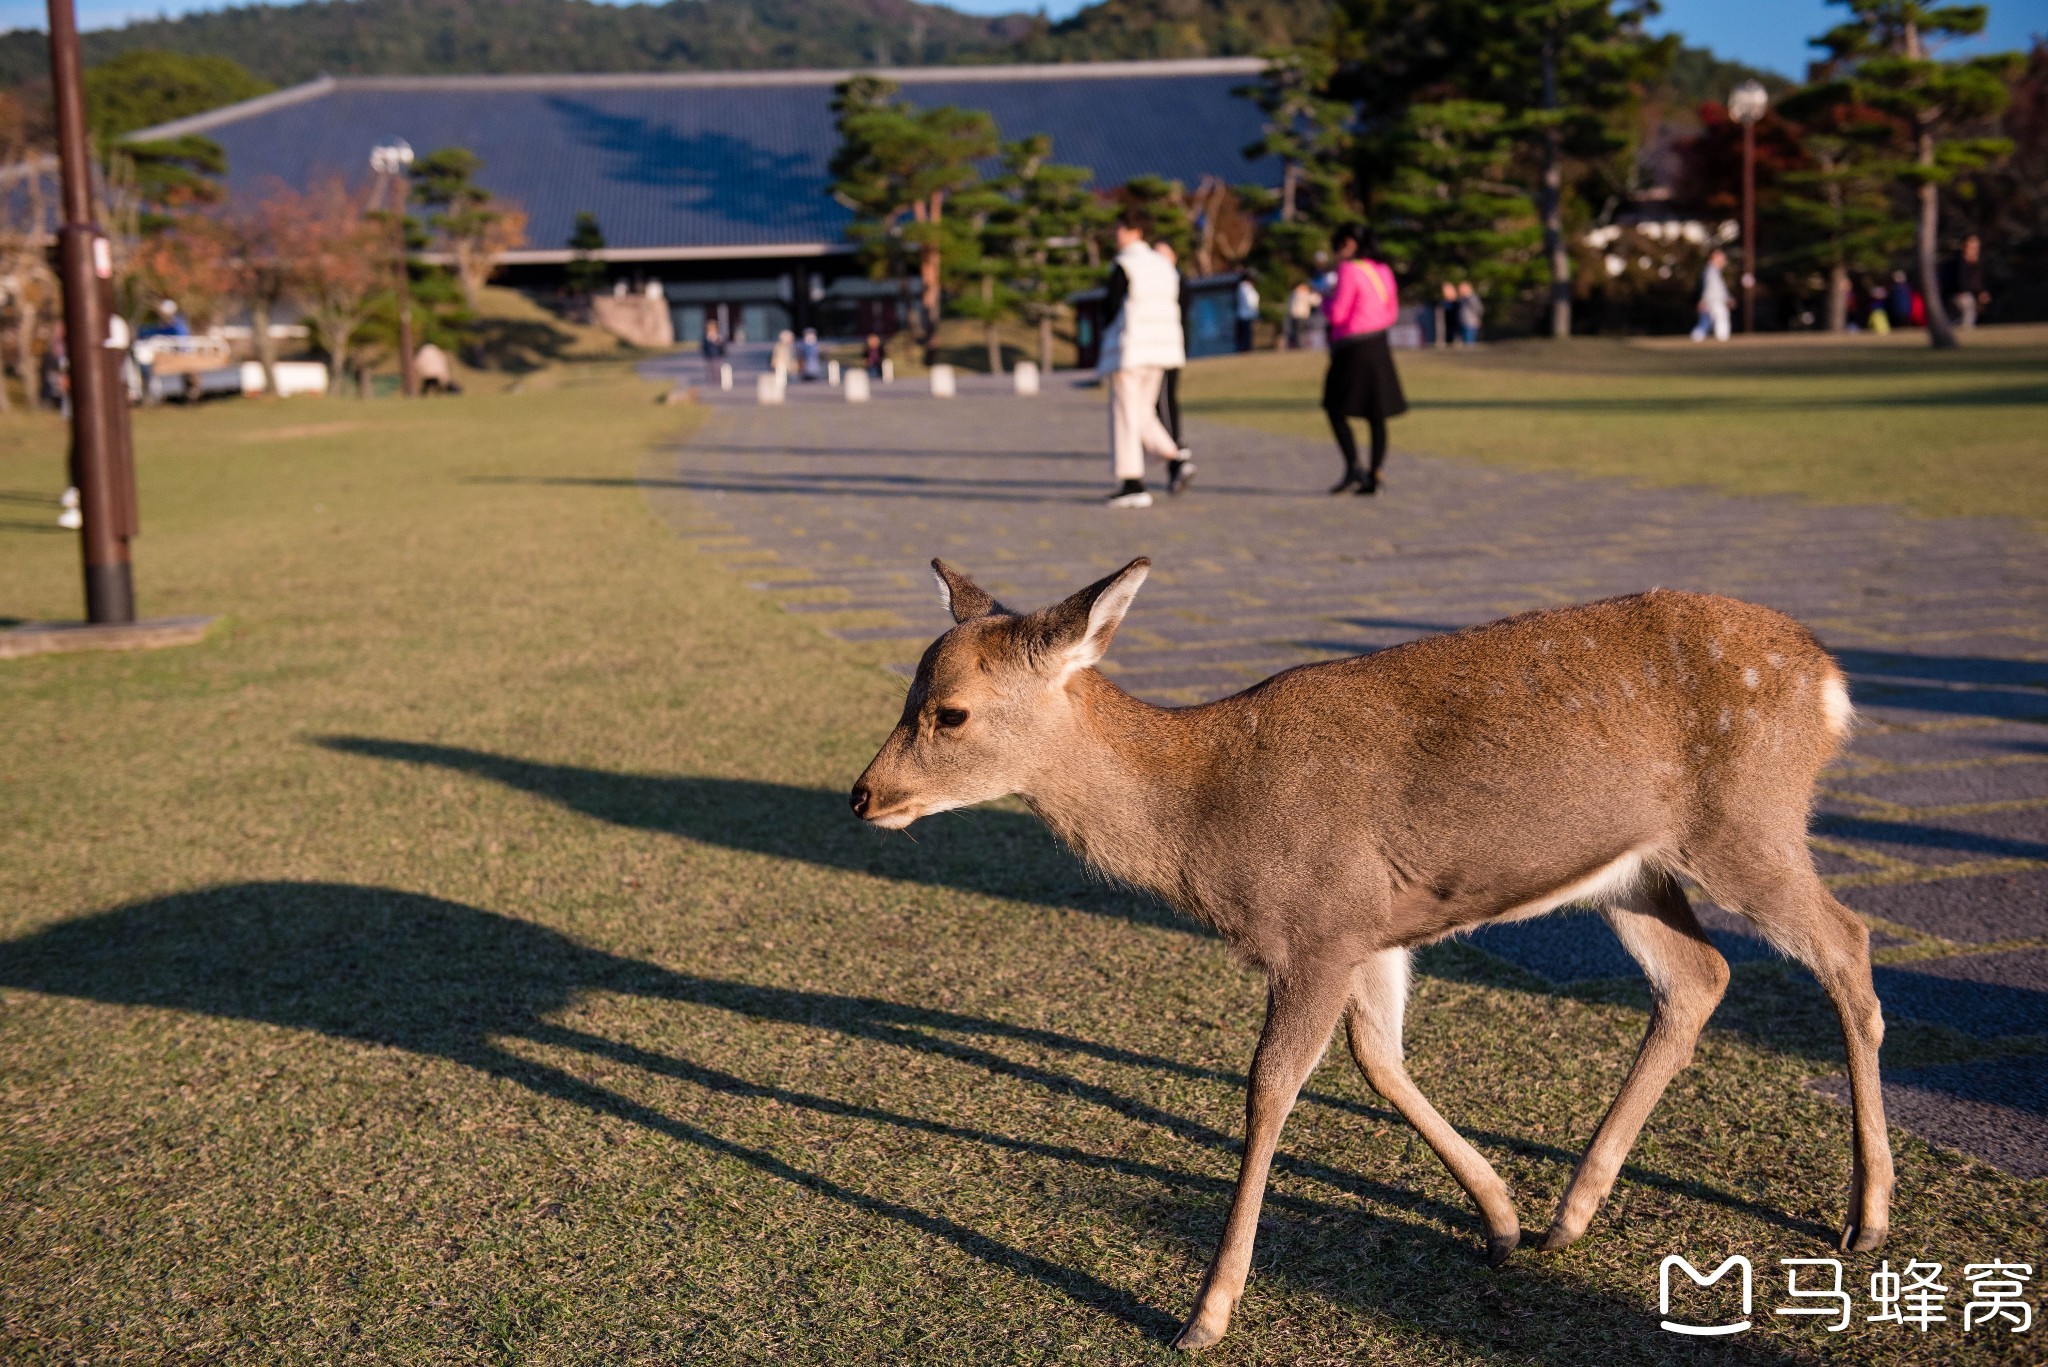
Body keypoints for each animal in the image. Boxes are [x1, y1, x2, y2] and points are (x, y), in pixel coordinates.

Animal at [843, 561, 1884, 1352]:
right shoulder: (1367, 933)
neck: (1206, 823)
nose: (863, 794)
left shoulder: (1317, 925)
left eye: (950, 713)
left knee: (1847, 942)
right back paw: (1570, 1213)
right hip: (1631, 870)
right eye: (908, 696)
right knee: (1698, 975)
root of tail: (1831, 682)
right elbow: (1380, 1060)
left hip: (1747, 820)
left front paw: (1205, 1314)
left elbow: (1270, 1087)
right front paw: (1499, 1219)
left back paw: (1866, 1215)